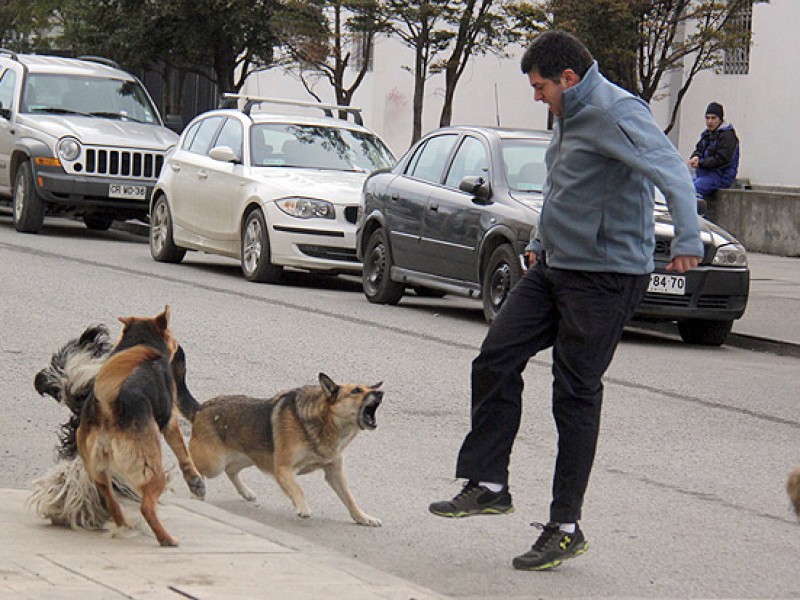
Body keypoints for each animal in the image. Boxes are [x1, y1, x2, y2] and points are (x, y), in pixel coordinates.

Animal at [77, 308, 203, 548]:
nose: (179, 345)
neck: (141, 340)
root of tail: (109, 407)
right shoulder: (170, 421)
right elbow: (183, 451)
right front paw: (195, 481)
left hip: (98, 471)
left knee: (110, 500)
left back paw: (124, 524)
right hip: (153, 471)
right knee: (146, 507)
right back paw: (166, 538)